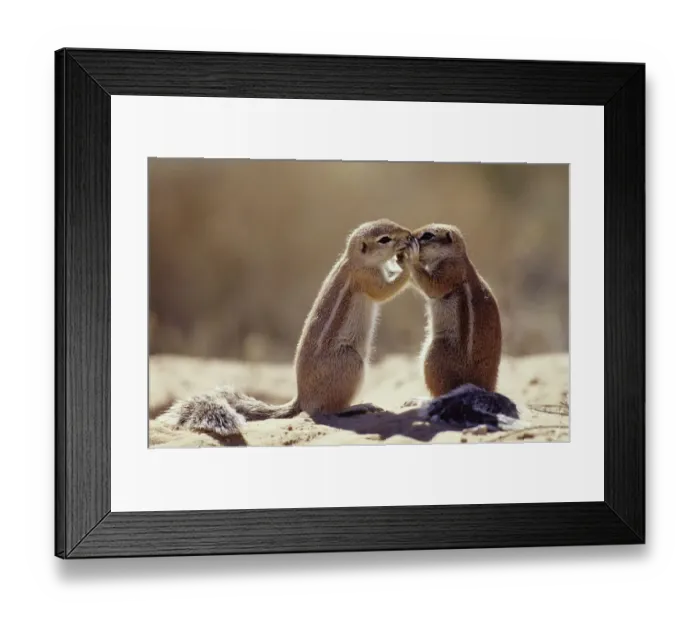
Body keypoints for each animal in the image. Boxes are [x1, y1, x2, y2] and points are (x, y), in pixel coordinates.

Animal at [160, 219, 414, 438]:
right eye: (384, 239)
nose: (409, 235)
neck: (353, 260)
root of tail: (302, 397)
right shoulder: (366, 278)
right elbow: (385, 291)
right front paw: (409, 262)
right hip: (351, 362)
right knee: (324, 410)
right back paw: (357, 407)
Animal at [402, 223, 502, 405]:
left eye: (428, 235)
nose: (409, 236)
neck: (455, 256)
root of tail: (481, 387)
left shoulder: (449, 272)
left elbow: (431, 286)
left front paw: (410, 255)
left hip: (434, 355)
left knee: (441, 394)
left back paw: (420, 400)